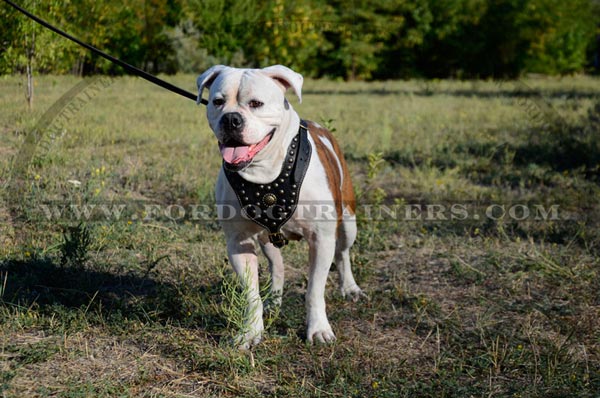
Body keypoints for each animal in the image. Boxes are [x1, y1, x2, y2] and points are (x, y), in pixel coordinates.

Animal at [198, 65, 366, 348]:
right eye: (217, 102)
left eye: (256, 103)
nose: (231, 119)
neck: (264, 171)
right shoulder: (239, 243)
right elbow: (251, 293)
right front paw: (250, 332)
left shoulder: (321, 238)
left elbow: (314, 290)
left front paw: (318, 329)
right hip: (266, 239)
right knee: (277, 267)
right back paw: (274, 301)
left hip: (347, 222)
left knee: (343, 254)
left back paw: (350, 288)